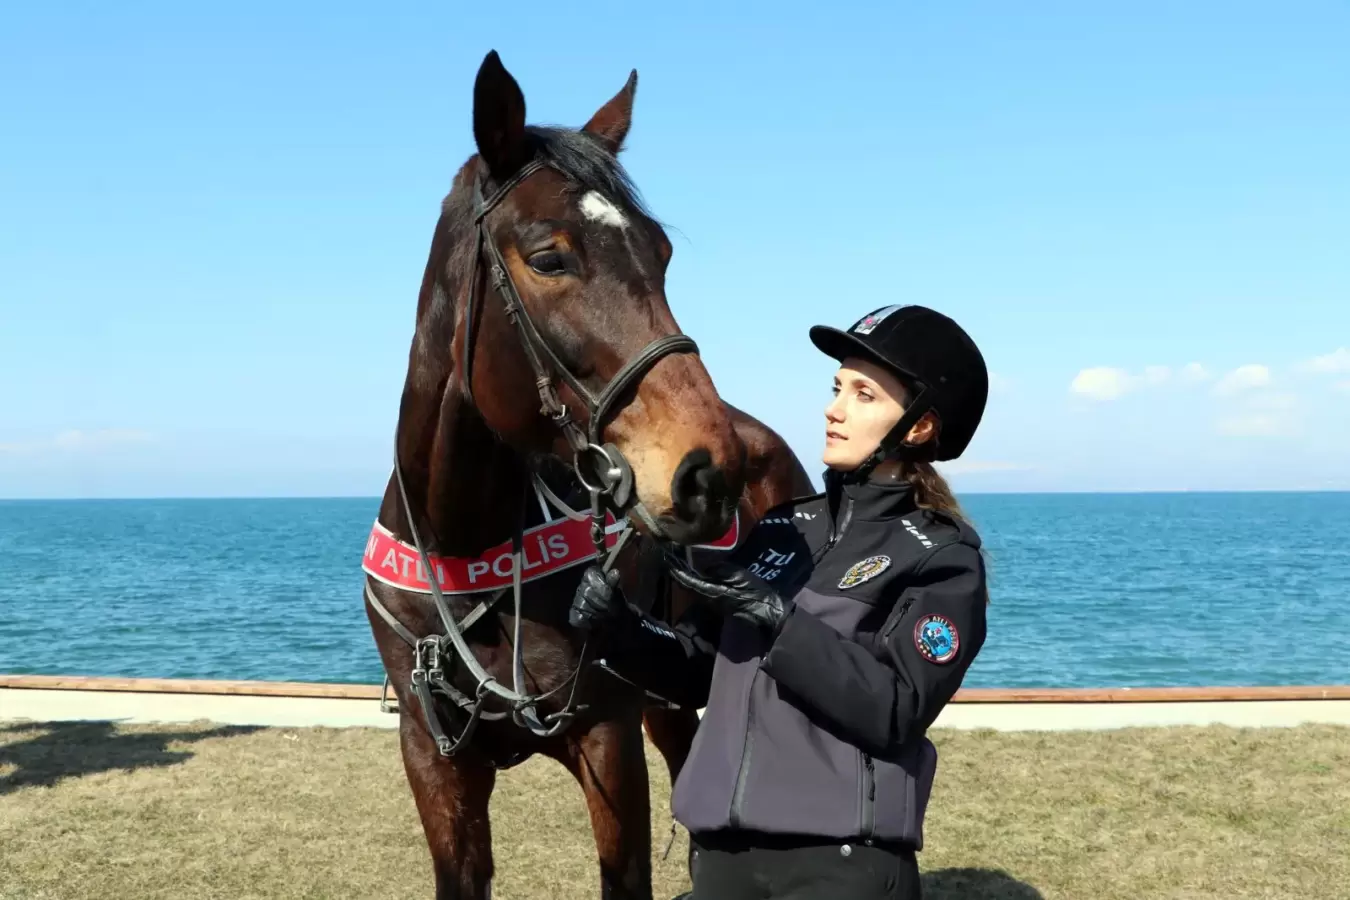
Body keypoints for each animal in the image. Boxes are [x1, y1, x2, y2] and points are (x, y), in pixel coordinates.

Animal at [361, 50, 810, 900]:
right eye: (548, 257)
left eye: (660, 254)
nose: (709, 473)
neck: (465, 550)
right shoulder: (433, 758)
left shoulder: (607, 736)